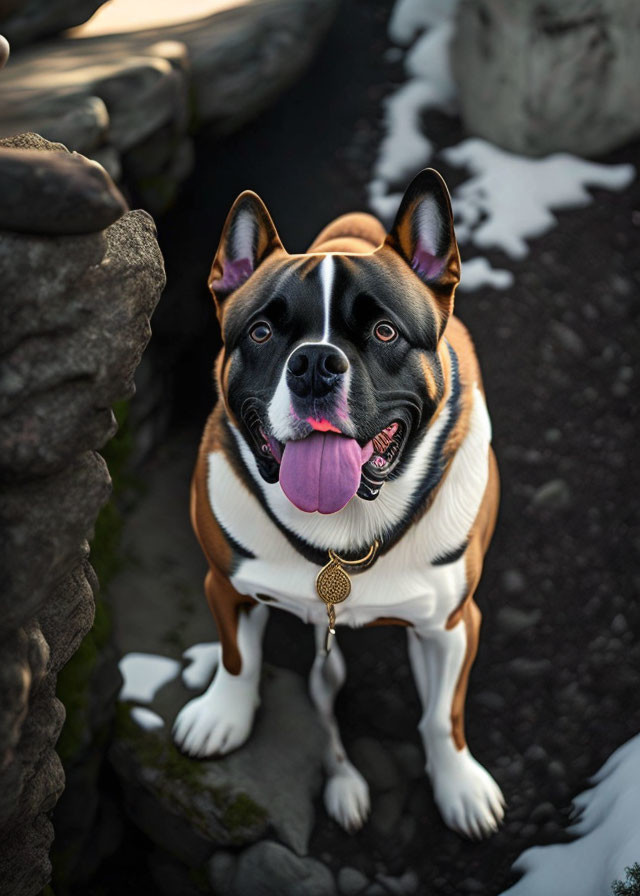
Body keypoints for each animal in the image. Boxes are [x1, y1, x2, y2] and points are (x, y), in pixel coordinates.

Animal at [174, 170, 504, 840]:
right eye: (261, 333)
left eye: (384, 331)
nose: (315, 363)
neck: (344, 530)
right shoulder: (227, 584)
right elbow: (239, 659)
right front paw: (224, 715)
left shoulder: (454, 623)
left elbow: (443, 716)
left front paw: (458, 785)